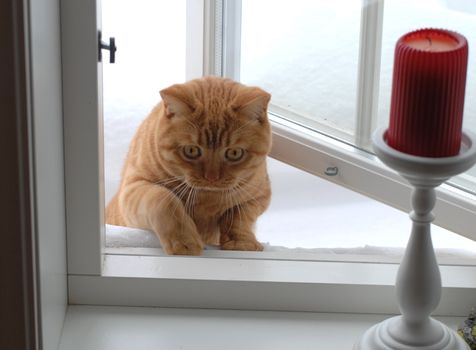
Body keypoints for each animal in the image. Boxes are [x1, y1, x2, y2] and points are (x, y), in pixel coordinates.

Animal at [107, 76, 272, 254]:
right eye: (191, 150)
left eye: (234, 153)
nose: (212, 178)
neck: (208, 199)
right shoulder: (133, 188)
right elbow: (164, 198)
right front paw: (184, 240)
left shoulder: (260, 196)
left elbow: (240, 217)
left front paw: (241, 241)